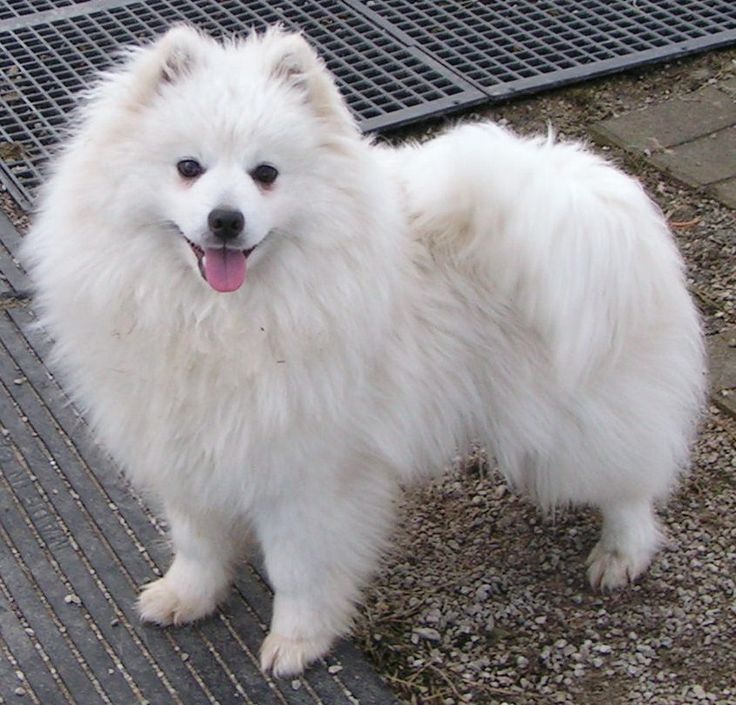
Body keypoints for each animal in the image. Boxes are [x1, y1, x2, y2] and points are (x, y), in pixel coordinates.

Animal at [21, 27, 700, 676]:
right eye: (188, 167)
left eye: (265, 174)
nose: (225, 220)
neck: (221, 317)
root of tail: (590, 198)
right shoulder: (192, 448)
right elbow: (198, 543)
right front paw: (187, 596)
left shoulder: (311, 475)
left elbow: (299, 570)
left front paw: (297, 641)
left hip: (577, 418)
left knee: (630, 483)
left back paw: (622, 553)